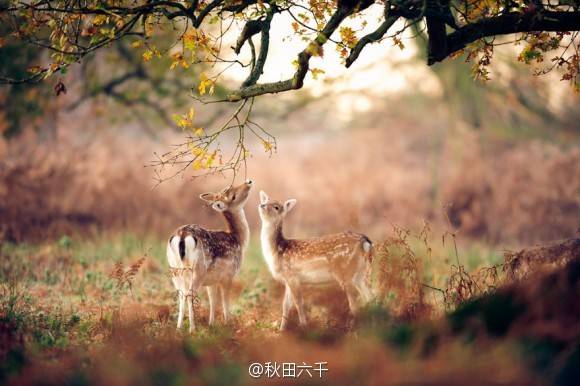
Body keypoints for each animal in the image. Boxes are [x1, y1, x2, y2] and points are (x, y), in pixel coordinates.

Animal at [165, 179, 251, 332]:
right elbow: (224, 300)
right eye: (233, 195)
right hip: (198, 269)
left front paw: (211, 324)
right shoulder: (228, 275)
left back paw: (178, 328)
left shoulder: (212, 281)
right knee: (189, 294)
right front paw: (228, 324)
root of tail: (182, 236)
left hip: (174, 269)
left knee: (181, 294)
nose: (248, 181)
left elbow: (212, 300)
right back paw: (192, 329)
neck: (238, 239)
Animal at [260, 190, 376, 328]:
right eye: (265, 201)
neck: (278, 251)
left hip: (345, 271)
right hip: (360, 273)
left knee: (355, 302)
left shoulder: (292, 276)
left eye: (276, 207)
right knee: (370, 296)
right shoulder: (287, 279)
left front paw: (303, 326)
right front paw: (282, 329)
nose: (261, 205)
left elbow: (298, 303)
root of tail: (366, 242)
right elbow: (286, 305)